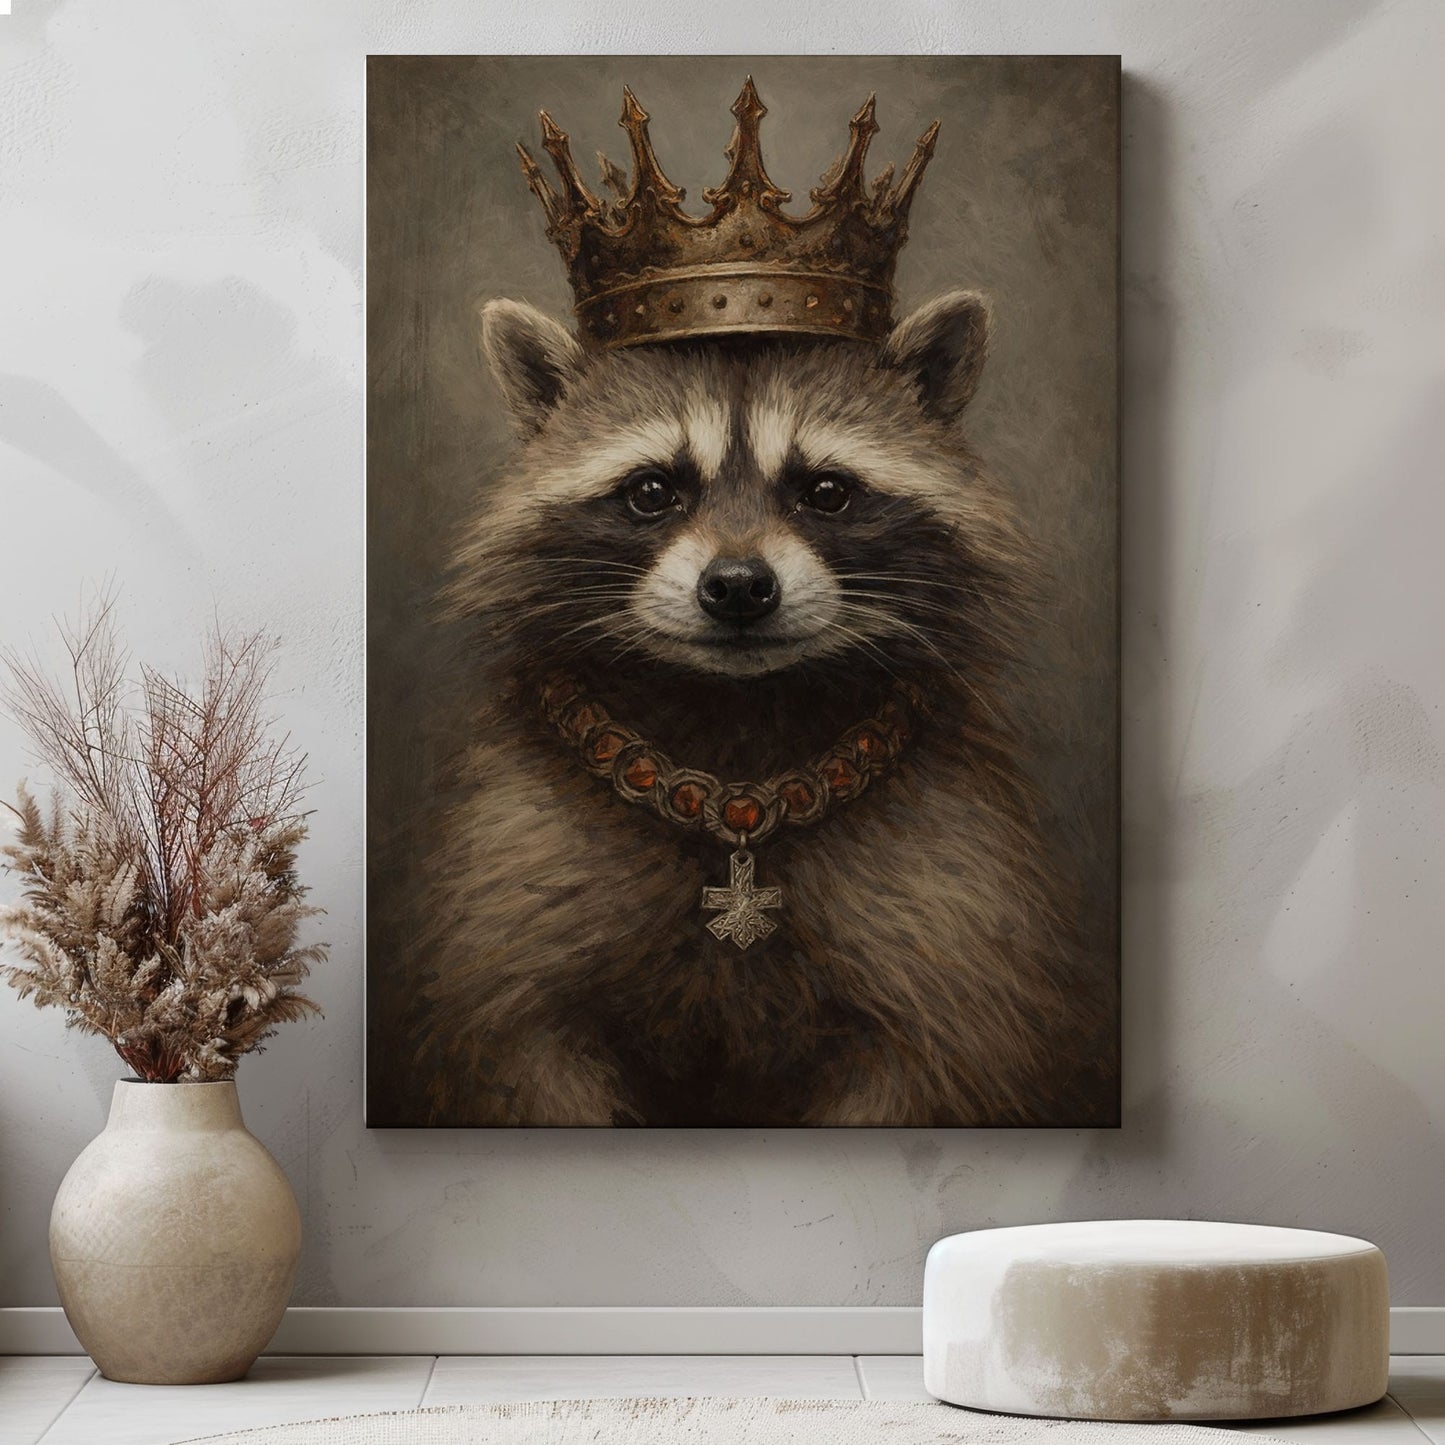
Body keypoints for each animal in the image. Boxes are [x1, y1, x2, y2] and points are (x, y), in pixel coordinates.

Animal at [407, 290, 1110, 1126]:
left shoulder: (954, 915)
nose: (738, 585)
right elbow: (520, 1058)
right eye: (651, 491)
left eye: (827, 491)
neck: (738, 713)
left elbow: (938, 1065)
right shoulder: (518, 887)